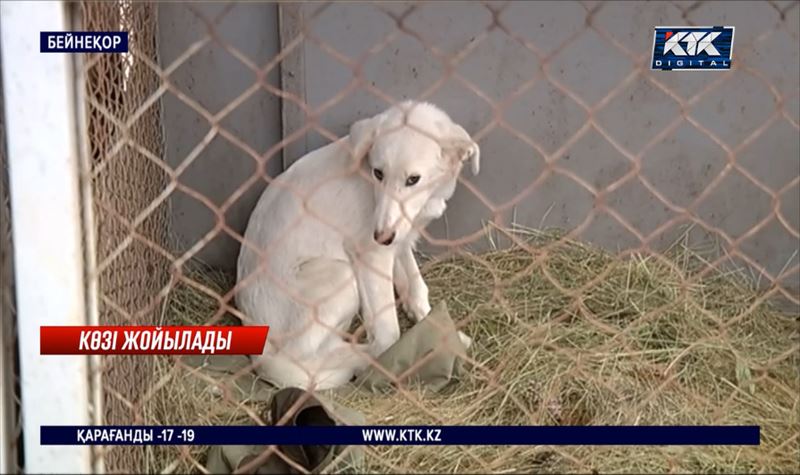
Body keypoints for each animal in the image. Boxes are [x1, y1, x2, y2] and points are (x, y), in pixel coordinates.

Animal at [234, 100, 478, 390]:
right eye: (378, 173)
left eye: (413, 179)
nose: (380, 236)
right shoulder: (372, 254)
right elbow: (388, 332)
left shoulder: (400, 238)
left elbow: (416, 286)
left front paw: (433, 322)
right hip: (341, 276)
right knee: (309, 355)